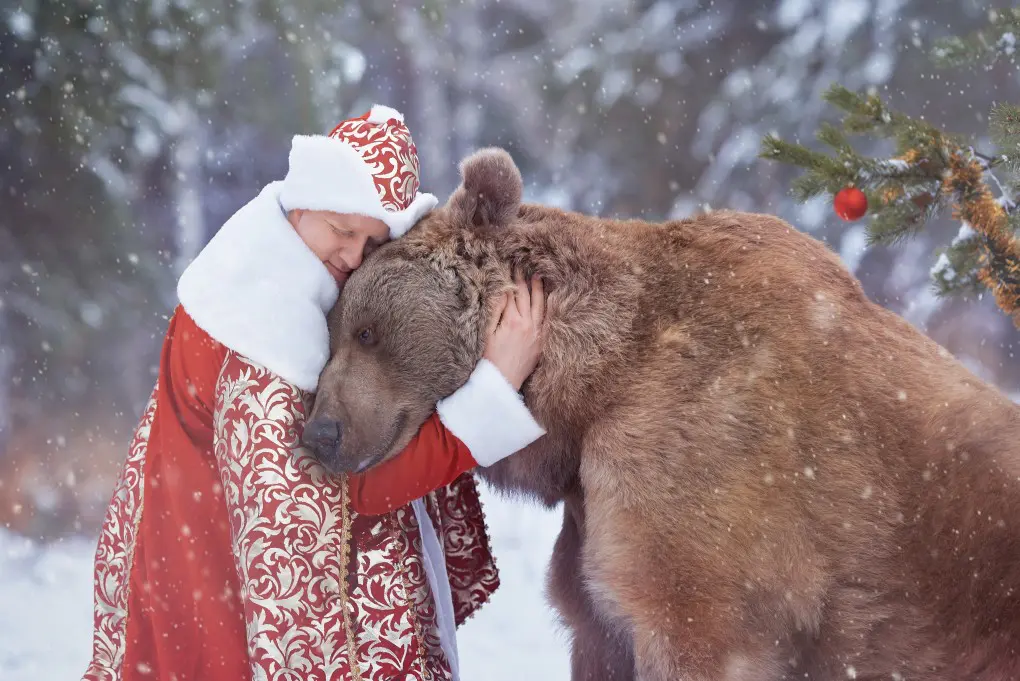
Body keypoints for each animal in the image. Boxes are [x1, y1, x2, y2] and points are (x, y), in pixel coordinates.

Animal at [304, 147, 1020, 681]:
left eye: (365, 330)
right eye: (331, 332)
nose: (321, 432)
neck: (585, 395)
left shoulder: (702, 495)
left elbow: (694, 617)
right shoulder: (594, 540)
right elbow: (597, 621)